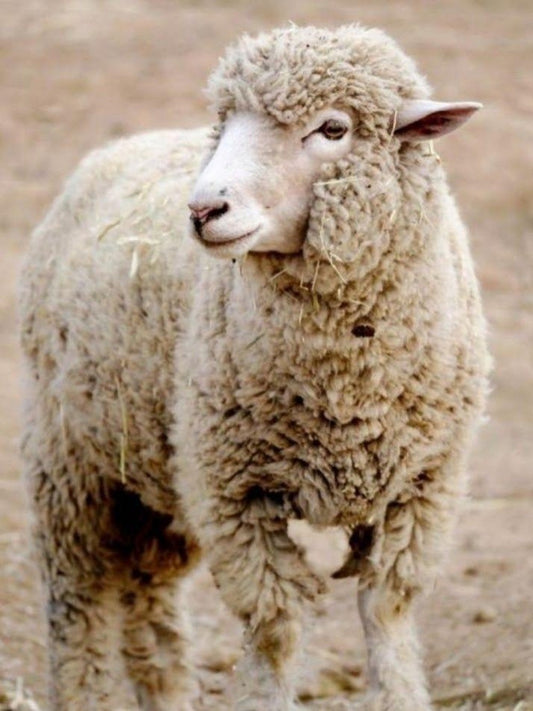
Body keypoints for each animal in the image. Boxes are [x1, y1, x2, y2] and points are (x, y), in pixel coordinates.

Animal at [19, 23, 490, 711]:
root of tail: (118, 146)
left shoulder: (422, 488)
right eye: (226, 125)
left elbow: (387, 615)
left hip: (158, 476)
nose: (202, 210)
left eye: (333, 128)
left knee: (148, 604)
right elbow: (275, 631)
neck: (345, 394)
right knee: (77, 608)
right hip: (69, 465)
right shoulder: (235, 492)